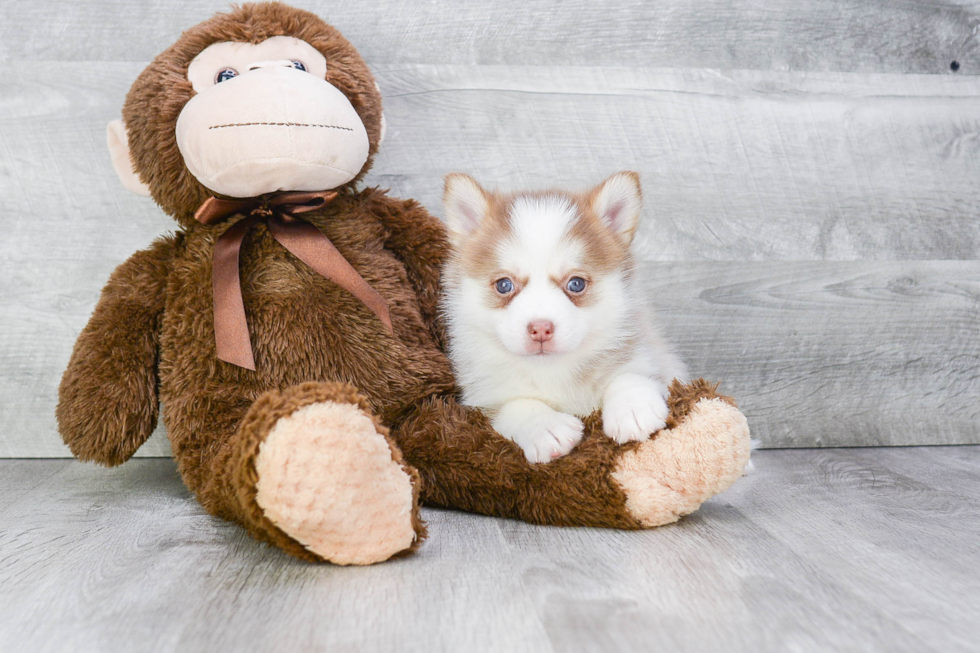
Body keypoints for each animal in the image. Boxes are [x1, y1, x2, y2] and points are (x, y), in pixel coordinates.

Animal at [444, 171, 688, 460]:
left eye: (576, 284)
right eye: (504, 285)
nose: (540, 328)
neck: (553, 370)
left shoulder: (653, 355)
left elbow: (630, 374)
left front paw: (633, 407)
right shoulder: (484, 400)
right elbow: (516, 405)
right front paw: (543, 426)